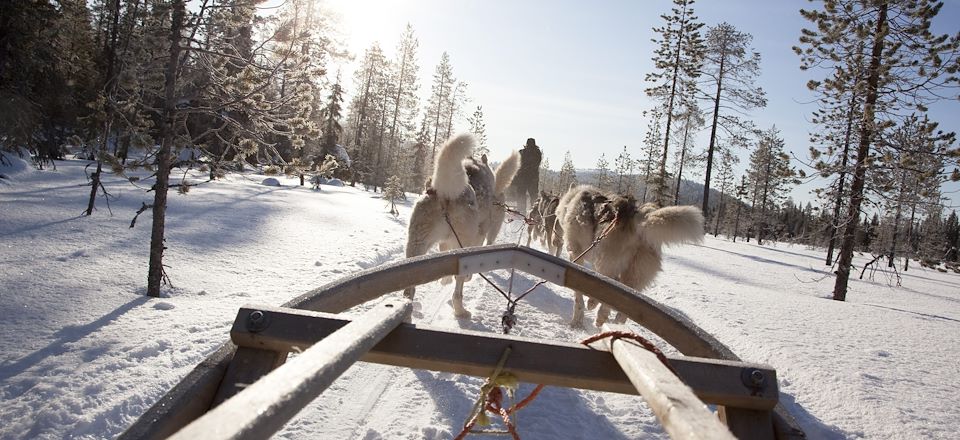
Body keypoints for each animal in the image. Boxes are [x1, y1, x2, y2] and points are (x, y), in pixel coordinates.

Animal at [402, 132, 516, 318]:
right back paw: (461, 310)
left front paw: (445, 279)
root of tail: (445, 192)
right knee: (458, 291)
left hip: (416, 245)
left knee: (408, 291)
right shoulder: (480, 235)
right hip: (464, 249)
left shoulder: (444, 242)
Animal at [556, 184, 704, 328]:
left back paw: (596, 308)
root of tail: (637, 216)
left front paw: (577, 319)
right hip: (635, 272)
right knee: (625, 298)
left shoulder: (576, 253)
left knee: (609, 288)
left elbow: (578, 296)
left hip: (605, 262)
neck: (573, 199)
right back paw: (610, 317)